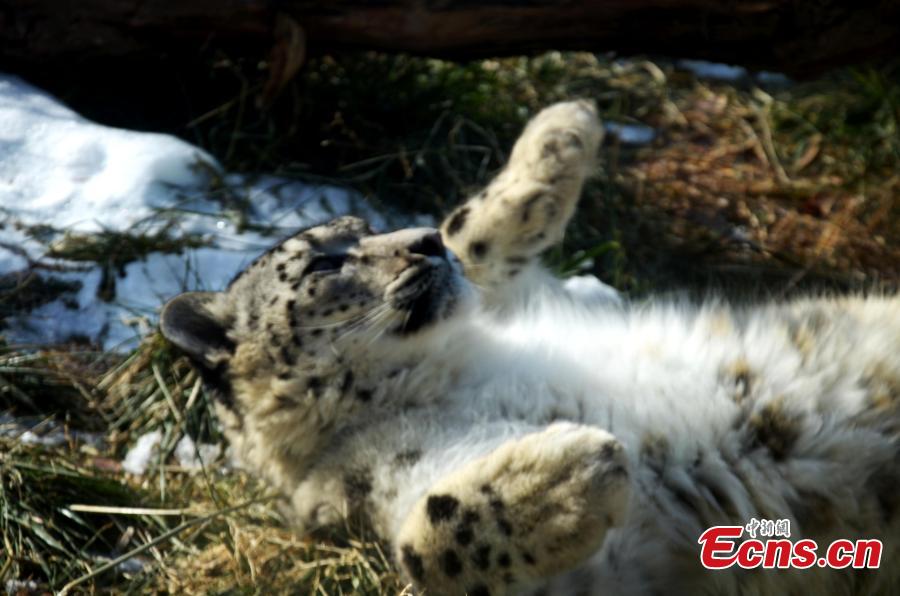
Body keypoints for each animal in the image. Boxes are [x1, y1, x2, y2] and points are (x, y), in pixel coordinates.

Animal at [160, 101, 900, 595]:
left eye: (367, 226)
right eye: (323, 262)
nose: (422, 241)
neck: (451, 371)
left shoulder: (518, 300)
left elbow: (475, 234)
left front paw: (560, 132)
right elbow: (427, 543)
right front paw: (565, 472)